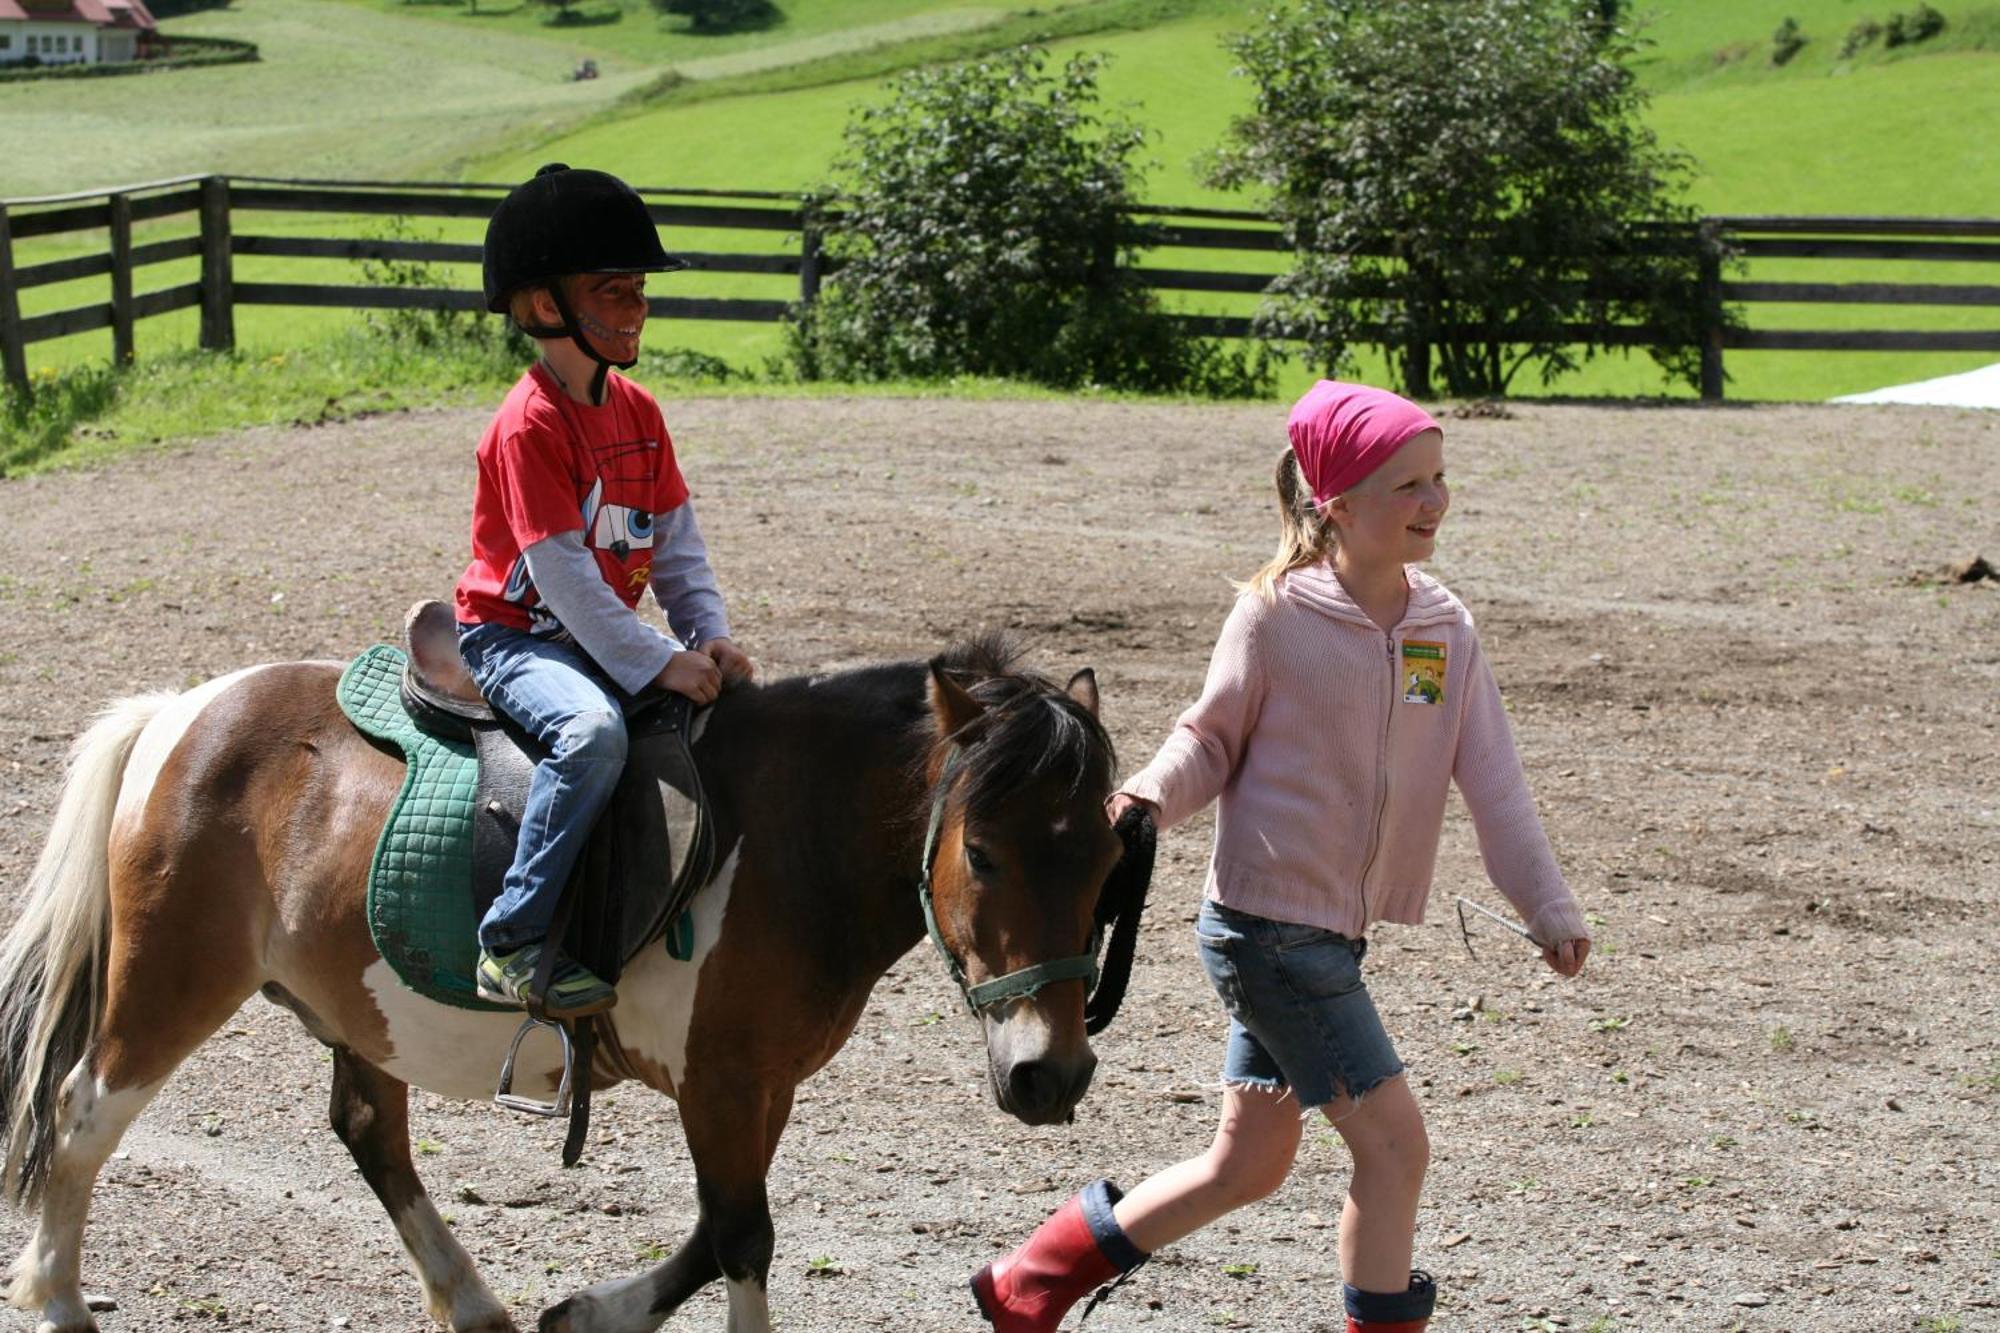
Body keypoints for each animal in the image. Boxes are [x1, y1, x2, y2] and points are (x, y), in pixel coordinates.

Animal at [0, 632, 1136, 1328]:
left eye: (1106, 857)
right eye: (982, 852)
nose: (1051, 1075)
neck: (784, 836)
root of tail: (180, 713)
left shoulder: (756, 1083)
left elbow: (718, 1229)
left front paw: (588, 1311)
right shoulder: (723, 1082)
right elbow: (742, 1235)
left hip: (358, 1012)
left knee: (370, 1136)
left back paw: (471, 1302)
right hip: (173, 978)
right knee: (82, 1110)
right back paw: (54, 1295)